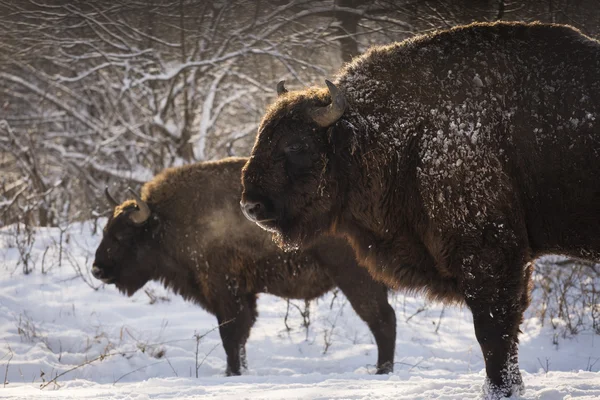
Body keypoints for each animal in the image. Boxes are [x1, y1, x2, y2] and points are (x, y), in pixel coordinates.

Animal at [91, 158, 396, 376]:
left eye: (122, 236)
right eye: (105, 230)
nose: (97, 270)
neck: (165, 222)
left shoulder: (224, 291)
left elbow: (231, 334)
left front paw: (232, 373)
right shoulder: (245, 295)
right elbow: (242, 336)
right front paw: (240, 370)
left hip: (355, 278)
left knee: (382, 319)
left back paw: (382, 371)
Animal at [241, 21, 600, 396]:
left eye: (296, 145)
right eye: (262, 137)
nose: (251, 205)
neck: (398, 134)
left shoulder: (490, 256)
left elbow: (493, 333)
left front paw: (500, 390)